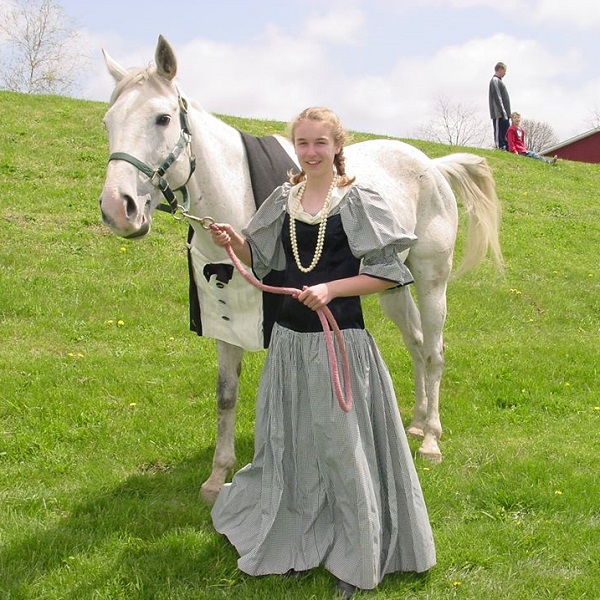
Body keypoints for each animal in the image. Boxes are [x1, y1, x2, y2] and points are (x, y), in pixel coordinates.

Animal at [101, 32, 504, 502]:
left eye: (162, 118)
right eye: (108, 123)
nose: (118, 209)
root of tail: (432, 167)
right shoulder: (225, 324)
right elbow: (226, 395)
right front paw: (218, 478)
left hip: (431, 282)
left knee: (435, 350)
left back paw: (432, 440)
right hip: (390, 288)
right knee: (417, 343)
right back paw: (418, 423)